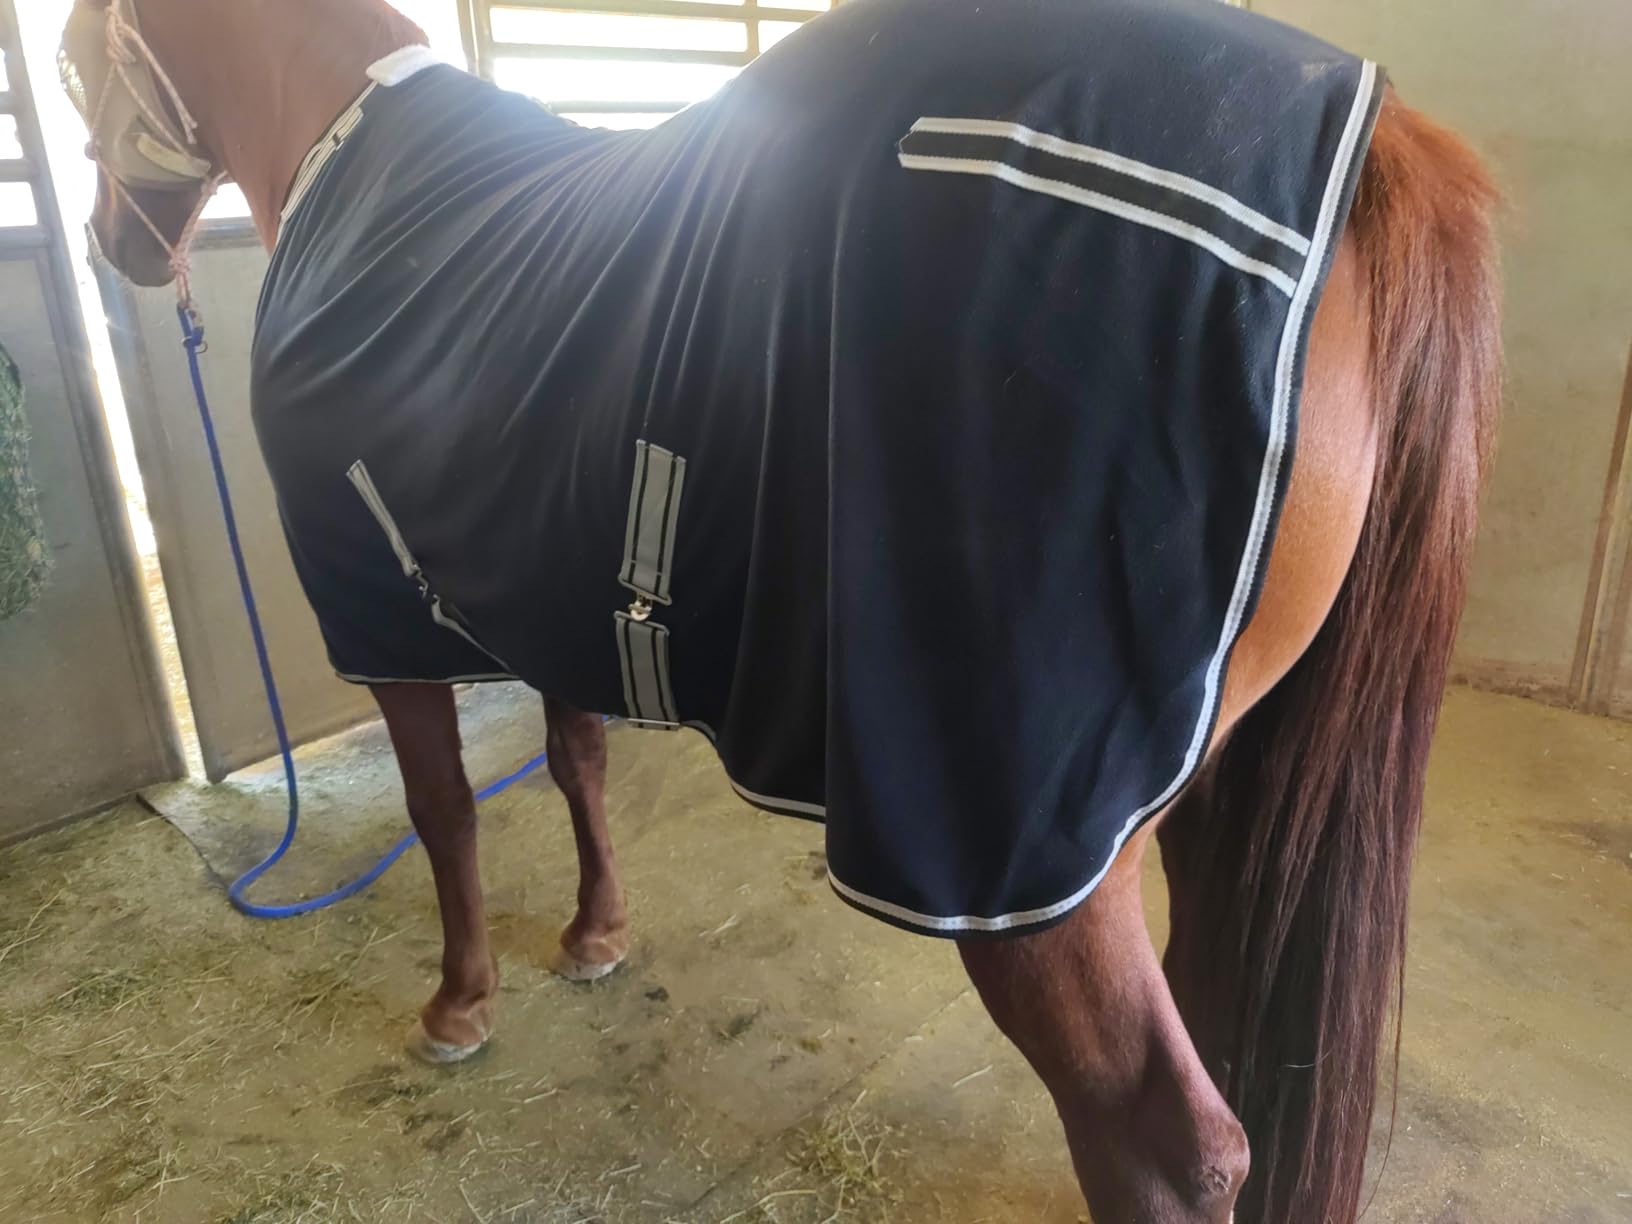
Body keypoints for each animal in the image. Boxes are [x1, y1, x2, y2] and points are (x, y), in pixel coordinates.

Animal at [59, 0, 1502, 1220]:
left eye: (71, 64)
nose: (108, 245)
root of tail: (1373, 139)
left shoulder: (387, 620)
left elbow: (445, 814)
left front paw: (461, 1004)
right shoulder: (545, 587)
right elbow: (575, 764)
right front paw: (594, 936)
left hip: (1034, 867)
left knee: (1169, 1141)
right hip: (1202, 795)